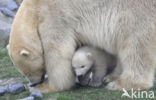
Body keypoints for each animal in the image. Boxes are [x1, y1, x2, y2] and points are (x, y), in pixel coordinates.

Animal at [8, 0, 156, 92]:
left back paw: (123, 83)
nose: (34, 83)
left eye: (27, 72)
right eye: (24, 73)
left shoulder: (55, 17)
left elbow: (58, 54)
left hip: (136, 11)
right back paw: (111, 76)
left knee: (136, 44)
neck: (34, 9)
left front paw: (46, 87)